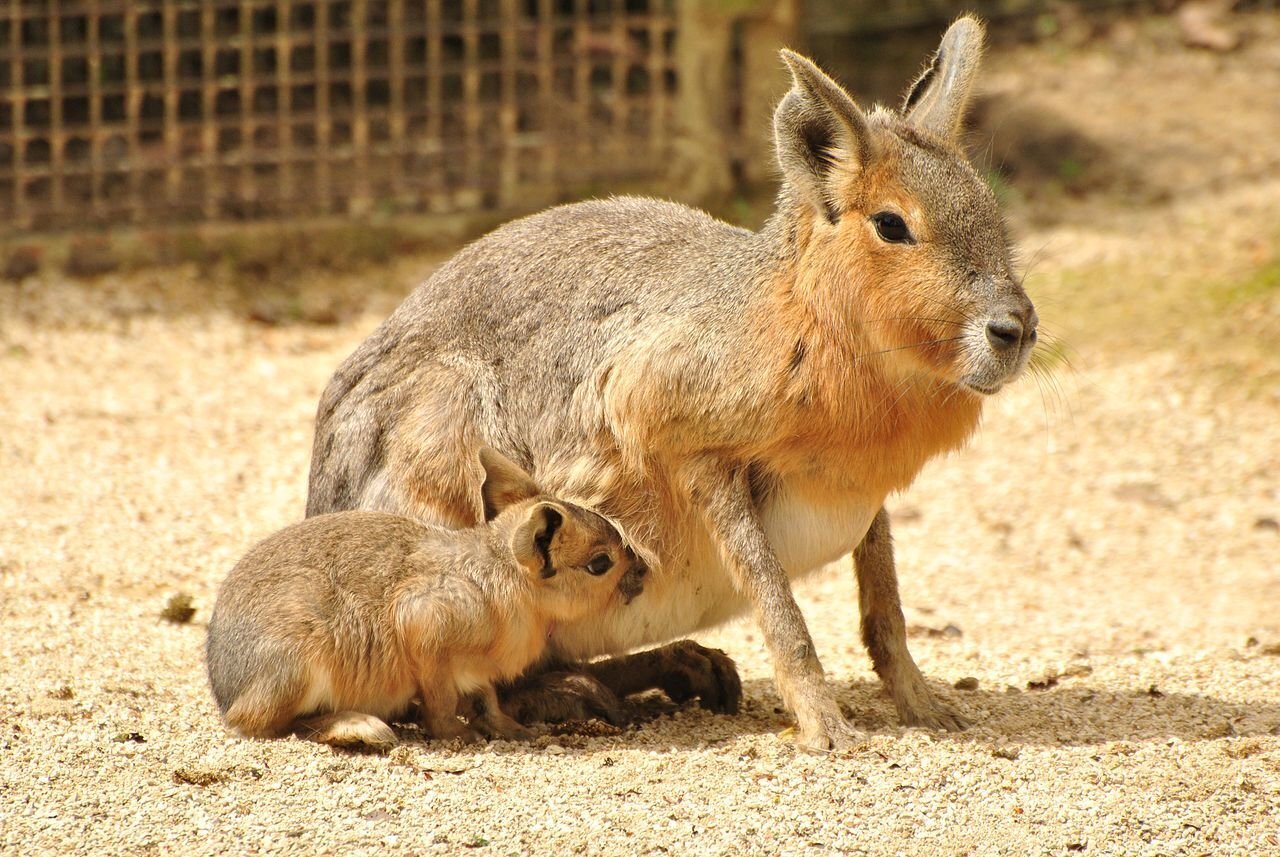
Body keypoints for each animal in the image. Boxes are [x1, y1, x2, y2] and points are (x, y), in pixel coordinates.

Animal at [205, 447, 646, 750]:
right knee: (267, 725)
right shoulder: (423, 624)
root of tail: (224, 687)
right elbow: (441, 702)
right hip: (299, 668)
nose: (643, 568)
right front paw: (458, 735)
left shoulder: (480, 673)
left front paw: (515, 730)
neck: (506, 582)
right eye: (600, 563)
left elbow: (489, 702)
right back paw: (362, 728)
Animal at [304, 17, 1036, 751]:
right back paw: (577, 691)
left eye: (990, 210)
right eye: (891, 224)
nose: (1016, 329)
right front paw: (827, 729)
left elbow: (885, 611)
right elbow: (782, 610)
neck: (807, 328)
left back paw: (681, 668)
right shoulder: (687, 441)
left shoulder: (869, 501)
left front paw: (927, 707)